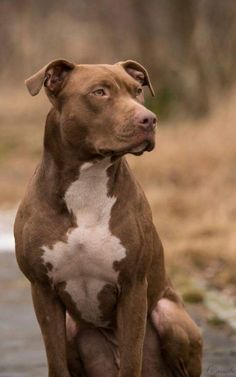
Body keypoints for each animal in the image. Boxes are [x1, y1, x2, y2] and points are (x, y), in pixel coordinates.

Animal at [14, 59, 202, 376]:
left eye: (137, 90)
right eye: (99, 92)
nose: (150, 119)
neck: (88, 182)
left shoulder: (133, 287)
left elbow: (131, 358)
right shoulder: (42, 290)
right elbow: (56, 361)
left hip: (169, 314)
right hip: (72, 328)